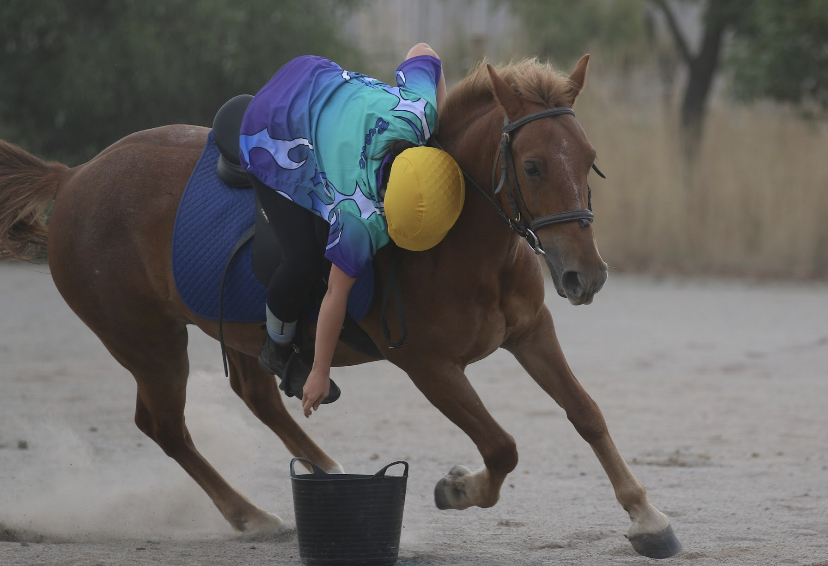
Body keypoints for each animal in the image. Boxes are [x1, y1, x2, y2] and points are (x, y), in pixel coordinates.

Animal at [0, 55, 681, 559]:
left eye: (590, 160)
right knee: (165, 426)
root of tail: (73, 177)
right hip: (149, 342)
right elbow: (501, 447)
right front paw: (457, 489)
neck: (462, 237)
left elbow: (586, 413)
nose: (585, 275)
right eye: (534, 166)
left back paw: (325, 470)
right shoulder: (430, 366)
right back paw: (250, 515)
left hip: (231, 329)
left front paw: (647, 518)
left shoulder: (531, 331)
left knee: (256, 394)